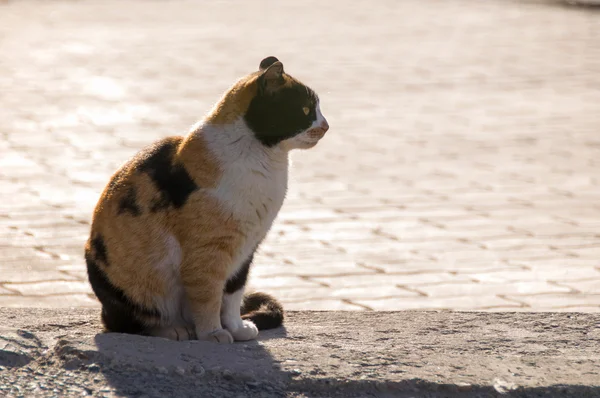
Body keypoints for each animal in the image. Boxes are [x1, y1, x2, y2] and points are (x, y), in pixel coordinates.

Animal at [83, 54, 328, 344]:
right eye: (305, 109)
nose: (326, 126)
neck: (268, 162)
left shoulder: (247, 248)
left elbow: (233, 293)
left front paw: (236, 328)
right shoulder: (208, 250)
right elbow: (208, 294)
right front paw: (213, 333)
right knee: (124, 322)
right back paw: (174, 329)